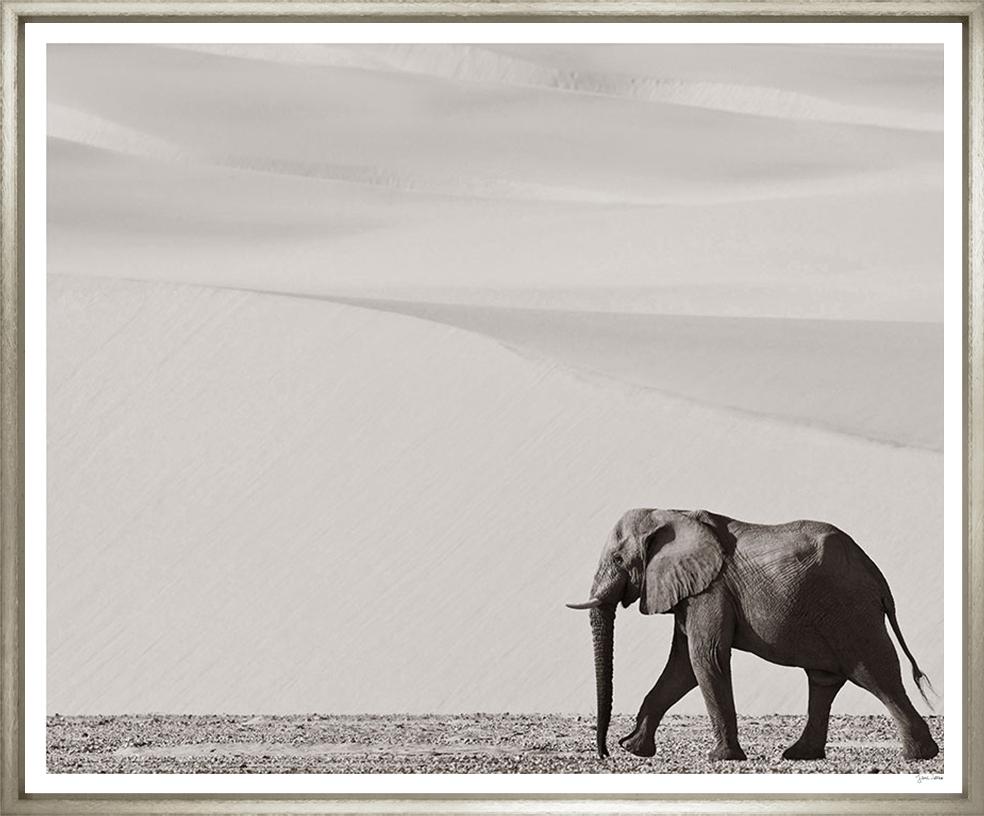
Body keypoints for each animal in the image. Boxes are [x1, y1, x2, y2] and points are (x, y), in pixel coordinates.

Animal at [567, 508, 939, 762]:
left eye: (618, 558)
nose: (604, 753)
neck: (673, 512)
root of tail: (877, 577)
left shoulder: (712, 589)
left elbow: (705, 658)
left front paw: (721, 758)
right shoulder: (693, 591)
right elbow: (682, 667)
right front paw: (634, 749)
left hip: (852, 613)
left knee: (876, 674)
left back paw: (919, 755)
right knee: (824, 682)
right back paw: (799, 754)